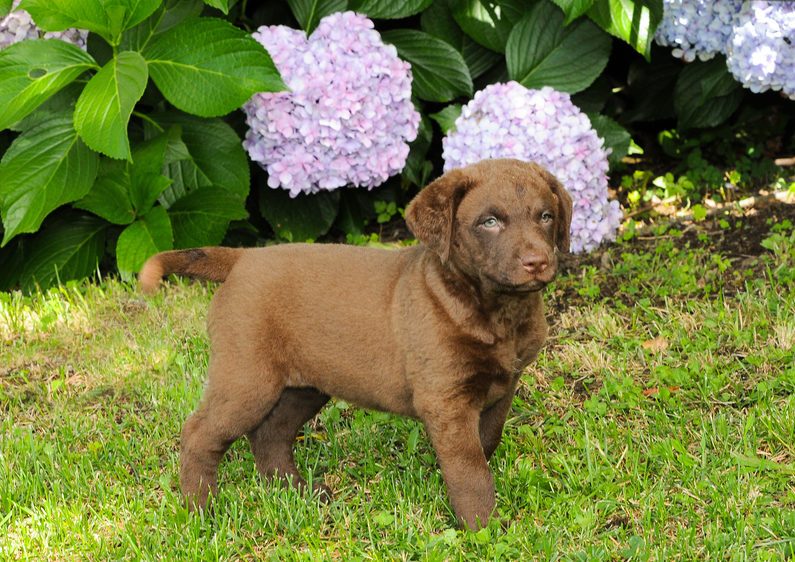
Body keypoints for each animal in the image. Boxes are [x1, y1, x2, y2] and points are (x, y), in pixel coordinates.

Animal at [138, 156, 572, 524]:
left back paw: (298, 492)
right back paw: (202, 510)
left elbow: (487, 442)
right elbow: (470, 470)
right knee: (200, 433)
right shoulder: (445, 398)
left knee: (270, 435)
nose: (538, 262)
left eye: (546, 216)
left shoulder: (503, 387)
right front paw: (484, 527)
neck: (499, 312)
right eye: (490, 222)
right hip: (247, 375)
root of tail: (243, 258)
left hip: (305, 384)